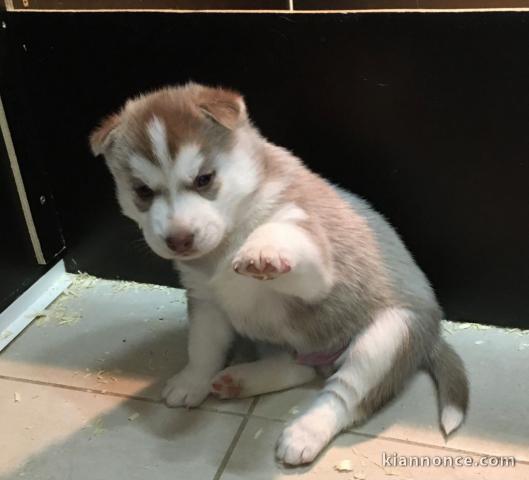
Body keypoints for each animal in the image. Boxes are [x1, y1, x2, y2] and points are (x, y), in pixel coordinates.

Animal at [89, 83, 466, 464]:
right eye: (142, 191)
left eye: (204, 179)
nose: (178, 239)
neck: (227, 241)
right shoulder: (206, 302)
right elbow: (202, 348)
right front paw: (191, 382)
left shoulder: (316, 264)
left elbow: (284, 233)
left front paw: (263, 249)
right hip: (270, 336)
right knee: (297, 367)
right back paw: (239, 380)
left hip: (388, 337)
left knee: (345, 394)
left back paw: (305, 432)